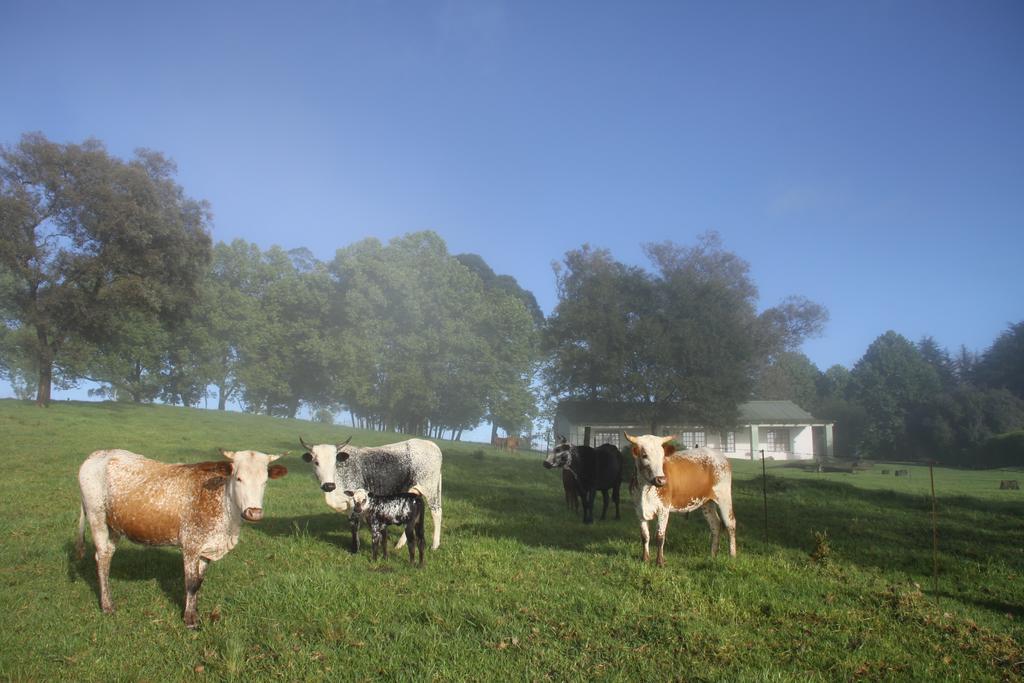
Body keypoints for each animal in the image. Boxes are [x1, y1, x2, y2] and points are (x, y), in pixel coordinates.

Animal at [76, 448, 288, 630]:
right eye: (239, 478)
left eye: (265, 481)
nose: (254, 512)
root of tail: (99, 454)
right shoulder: (191, 545)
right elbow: (191, 583)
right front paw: (190, 620)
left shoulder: (206, 547)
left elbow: (199, 582)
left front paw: (195, 611)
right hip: (97, 517)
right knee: (102, 558)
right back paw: (107, 605)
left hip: (113, 526)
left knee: (108, 554)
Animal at [296, 438, 440, 557]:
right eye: (316, 462)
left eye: (334, 462)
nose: (328, 485)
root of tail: (430, 444)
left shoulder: (354, 503)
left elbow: (354, 525)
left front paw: (355, 549)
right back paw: (399, 545)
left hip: (431, 489)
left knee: (436, 513)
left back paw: (434, 546)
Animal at [622, 432, 737, 565]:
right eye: (644, 455)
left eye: (662, 456)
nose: (661, 480)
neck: (645, 489)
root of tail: (719, 455)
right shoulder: (639, 510)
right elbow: (645, 536)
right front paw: (645, 559)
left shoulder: (663, 509)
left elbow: (660, 536)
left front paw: (660, 562)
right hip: (707, 502)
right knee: (715, 524)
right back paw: (712, 555)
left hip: (724, 497)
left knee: (730, 524)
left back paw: (732, 555)